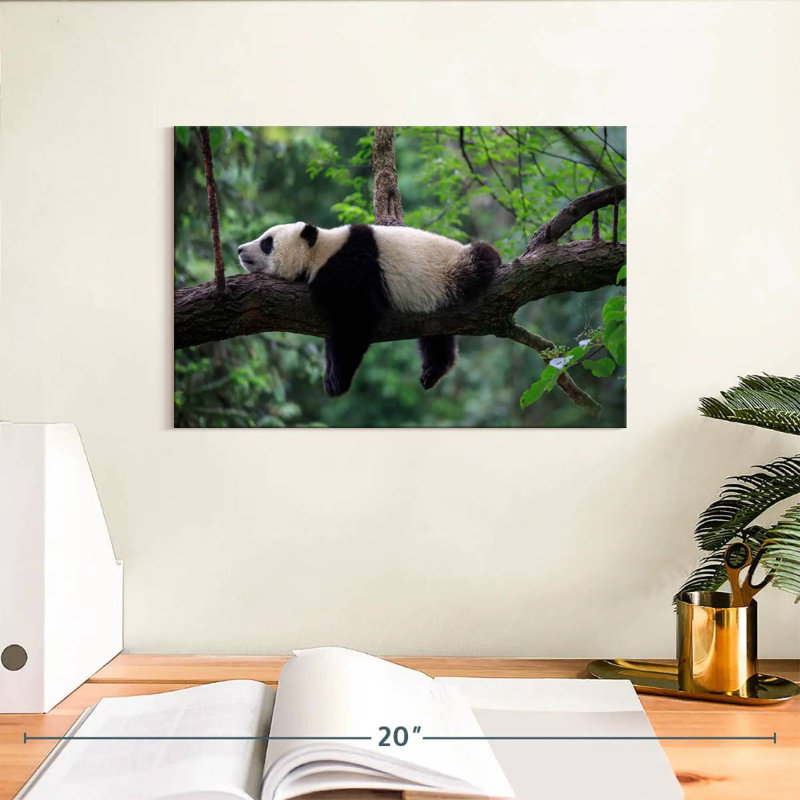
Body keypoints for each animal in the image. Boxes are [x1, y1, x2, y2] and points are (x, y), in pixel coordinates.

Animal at [237, 222, 500, 397]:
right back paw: (433, 370)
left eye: (267, 243)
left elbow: (355, 322)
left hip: (451, 270)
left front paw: (337, 380)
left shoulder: (351, 269)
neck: (321, 250)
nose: (240, 249)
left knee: (480, 259)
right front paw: (329, 375)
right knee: (436, 336)